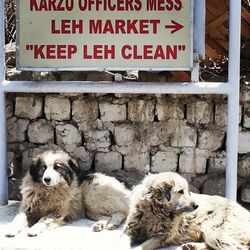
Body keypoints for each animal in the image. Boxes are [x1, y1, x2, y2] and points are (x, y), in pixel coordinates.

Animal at [122, 172, 250, 250]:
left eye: (188, 192)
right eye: (180, 191)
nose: (197, 205)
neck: (155, 210)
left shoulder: (160, 237)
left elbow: (140, 247)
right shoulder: (129, 231)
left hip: (211, 228)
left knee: (238, 247)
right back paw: (192, 246)